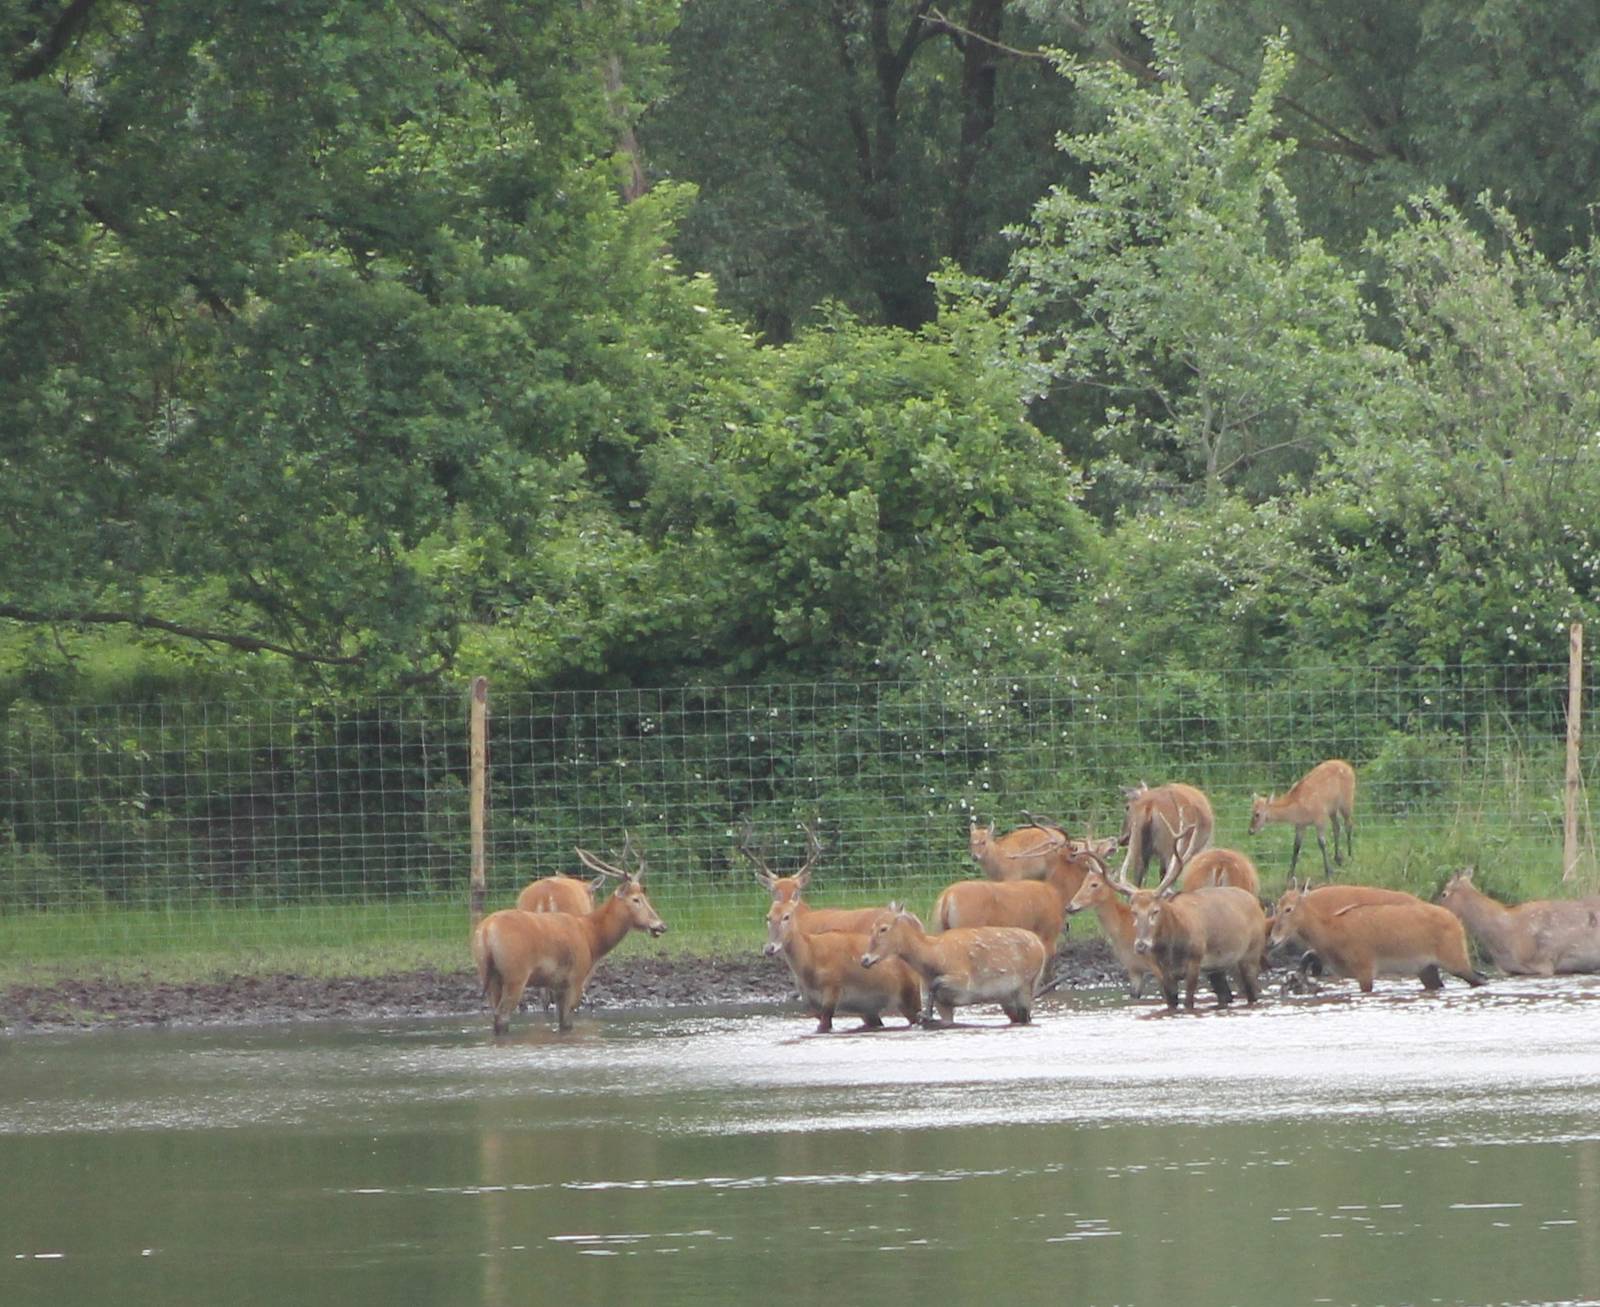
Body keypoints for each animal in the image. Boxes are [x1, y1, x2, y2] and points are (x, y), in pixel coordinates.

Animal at [471, 835, 667, 1033]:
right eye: (636, 899)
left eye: (645, 897)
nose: (661, 925)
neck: (591, 937)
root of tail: (486, 931)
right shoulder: (575, 977)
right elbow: (567, 1023)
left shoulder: (557, 983)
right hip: (515, 972)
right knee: (502, 1015)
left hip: (488, 972)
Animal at [763, 898, 923, 1032]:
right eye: (768, 917)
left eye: (787, 916)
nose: (769, 948)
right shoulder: (811, 1004)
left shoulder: (832, 991)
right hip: (868, 1008)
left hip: (910, 997)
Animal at [859, 905, 1048, 1026]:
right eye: (871, 927)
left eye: (883, 928)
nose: (865, 960)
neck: (932, 958)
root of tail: (1041, 946)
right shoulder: (944, 1004)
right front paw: (926, 1015)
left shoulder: (964, 980)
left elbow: (936, 984)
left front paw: (926, 1015)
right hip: (1007, 997)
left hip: (1026, 985)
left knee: (1026, 1017)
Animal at [1105, 814, 1267, 1011]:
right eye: (1133, 911)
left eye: (1155, 911)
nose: (1141, 945)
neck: (1171, 949)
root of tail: (1256, 904)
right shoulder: (1164, 971)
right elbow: (1171, 1002)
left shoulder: (1195, 960)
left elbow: (1189, 1002)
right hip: (1220, 966)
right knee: (1227, 993)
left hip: (1250, 954)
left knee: (1252, 991)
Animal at [1269, 882, 1486, 993]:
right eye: (1277, 906)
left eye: (1289, 909)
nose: (1273, 940)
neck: (1331, 929)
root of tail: (1456, 921)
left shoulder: (1365, 970)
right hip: (1427, 969)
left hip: (1455, 961)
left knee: (1481, 979)